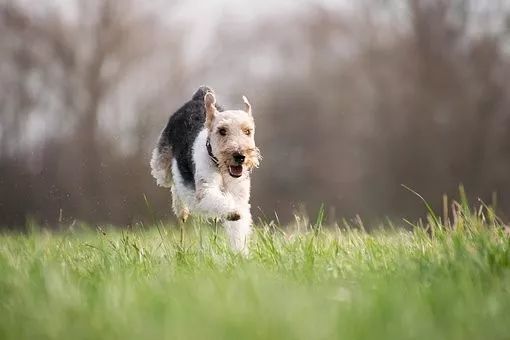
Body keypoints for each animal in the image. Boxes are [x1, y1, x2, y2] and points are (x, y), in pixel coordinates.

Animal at [147, 86, 258, 254]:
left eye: (247, 131)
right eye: (222, 130)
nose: (240, 156)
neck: (220, 168)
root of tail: (199, 96)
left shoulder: (240, 196)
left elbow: (238, 228)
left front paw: (240, 253)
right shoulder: (206, 190)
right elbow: (219, 201)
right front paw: (232, 212)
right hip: (161, 169)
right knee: (174, 183)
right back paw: (182, 209)